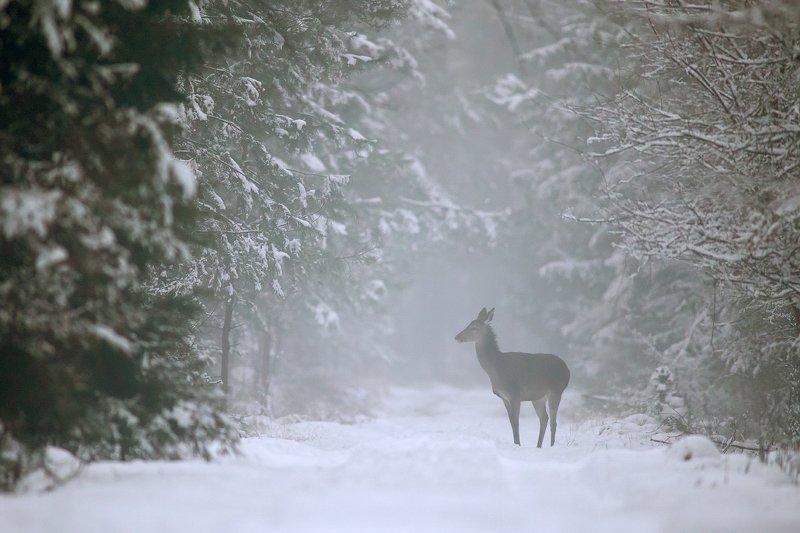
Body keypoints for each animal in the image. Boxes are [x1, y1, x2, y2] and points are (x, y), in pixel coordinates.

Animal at [455, 307, 570, 447]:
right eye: (469, 324)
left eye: (473, 328)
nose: (457, 337)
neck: (497, 369)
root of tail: (567, 369)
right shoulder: (504, 396)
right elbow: (511, 422)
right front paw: (516, 443)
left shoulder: (515, 393)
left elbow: (516, 422)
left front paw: (518, 445)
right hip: (538, 397)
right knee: (544, 418)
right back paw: (538, 446)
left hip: (557, 390)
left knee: (553, 422)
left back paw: (551, 446)